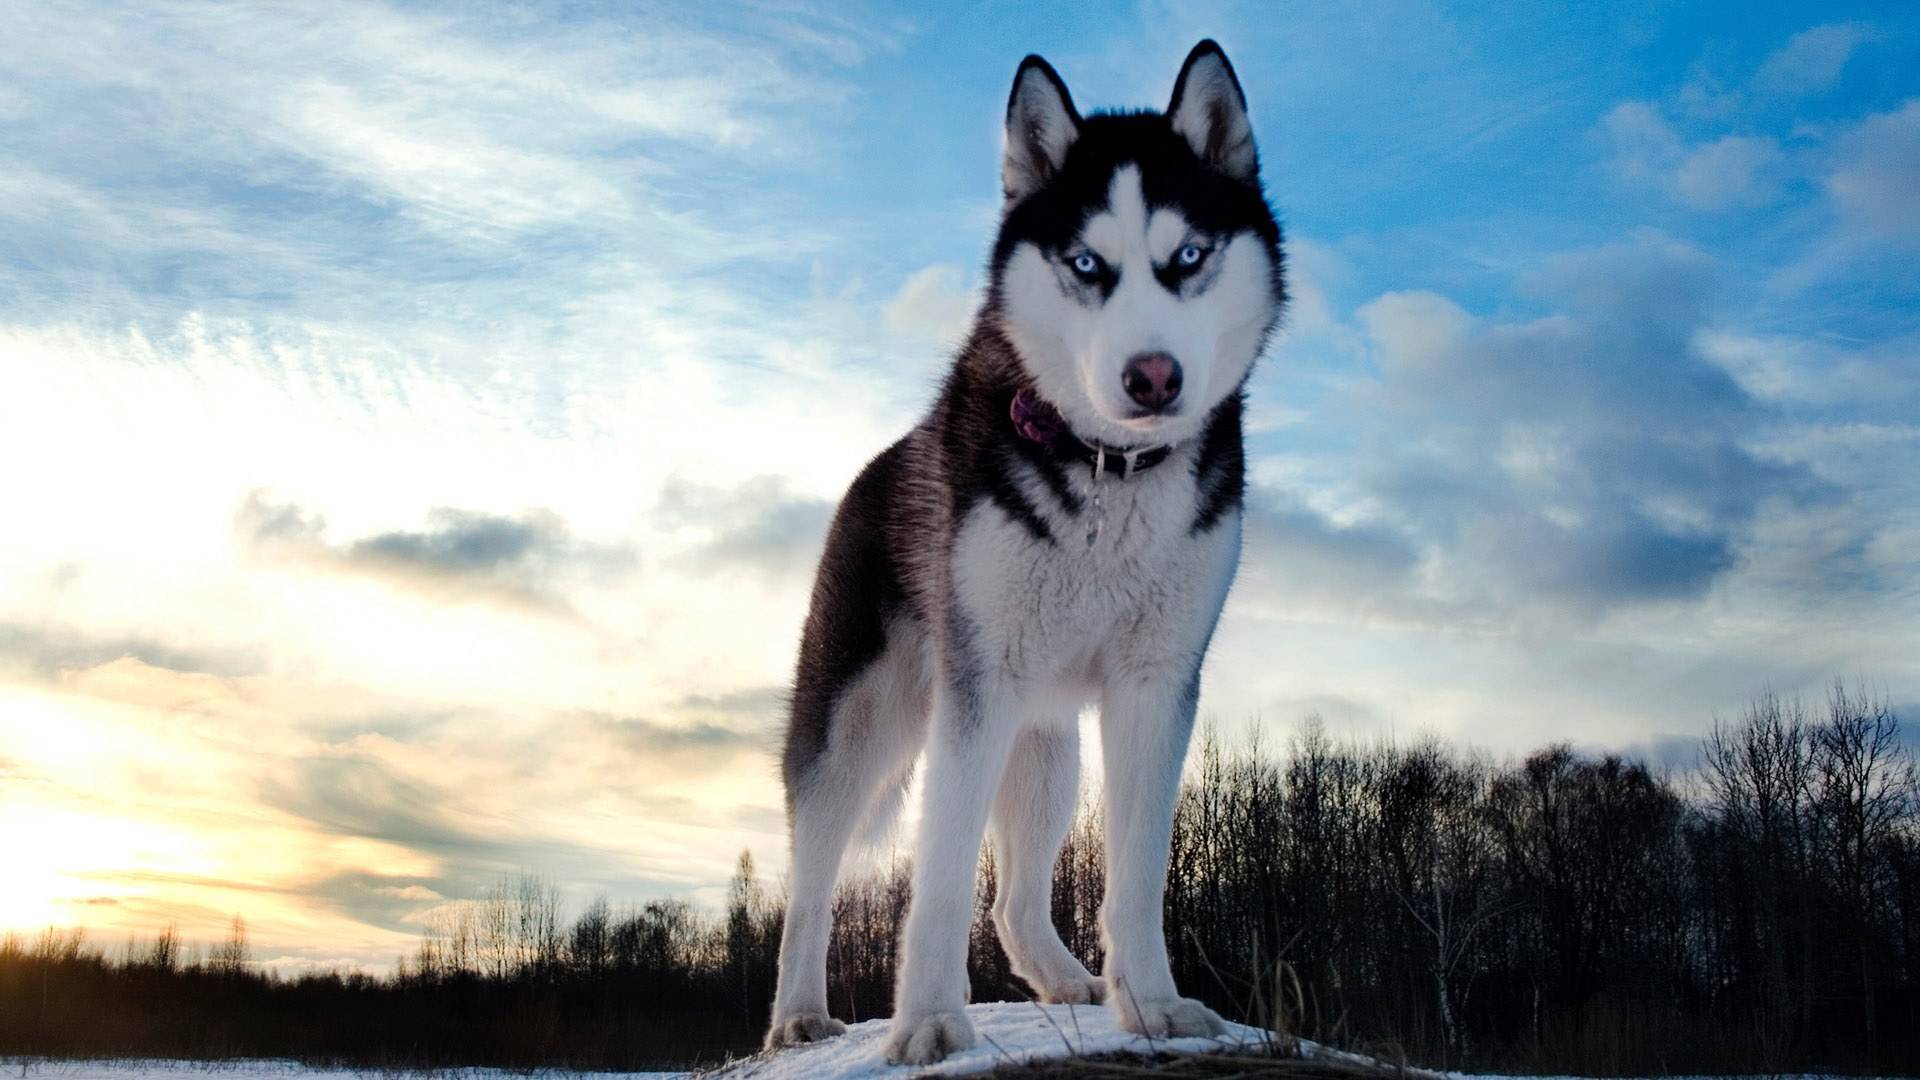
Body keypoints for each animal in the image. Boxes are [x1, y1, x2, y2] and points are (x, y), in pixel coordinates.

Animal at [764, 39, 1290, 1060]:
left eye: (1189, 257)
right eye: (1087, 263)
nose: (1153, 377)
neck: (1108, 470)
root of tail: (874, 468)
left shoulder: (1156, 685)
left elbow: (1136, 873)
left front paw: (1153, 1005)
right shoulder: (976, 692)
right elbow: (936, 881)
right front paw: (929, 1020)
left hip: (1045, 748)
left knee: (1011, 900)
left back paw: (1064, 979)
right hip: (859, 726)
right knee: (811, 881)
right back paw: (799, 1013)